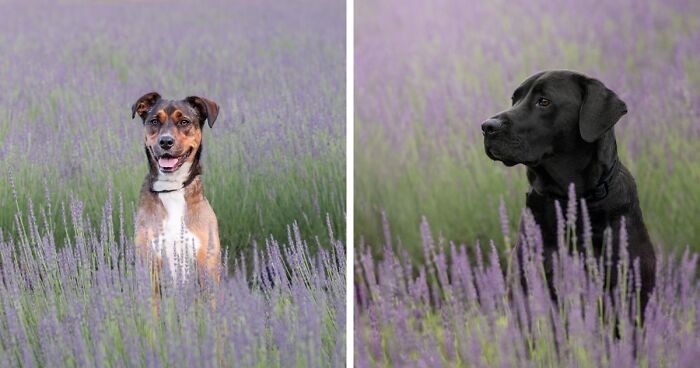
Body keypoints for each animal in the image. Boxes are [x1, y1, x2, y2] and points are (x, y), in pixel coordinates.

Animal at [130, 92, 220, 288]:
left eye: (184, 122)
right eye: (154, 121)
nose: (165, 141)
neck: (171, 189)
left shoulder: (206, 265)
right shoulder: (151, 262)